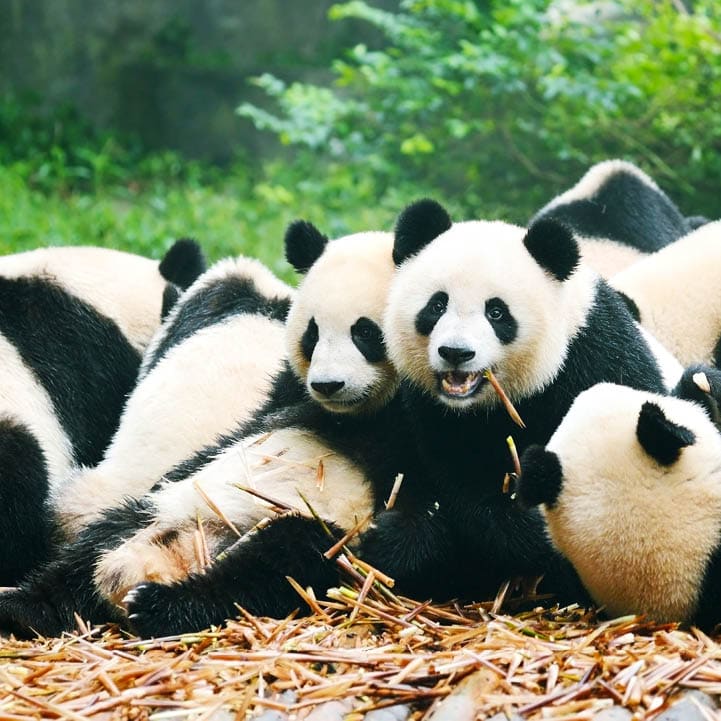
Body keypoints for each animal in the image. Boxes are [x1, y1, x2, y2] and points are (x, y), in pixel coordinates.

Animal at [355, 198, 680, 604]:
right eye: (436, 306)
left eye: (496, 312)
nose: (456, 352)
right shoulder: (431, 412)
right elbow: (462, 484)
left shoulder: (595, 357)